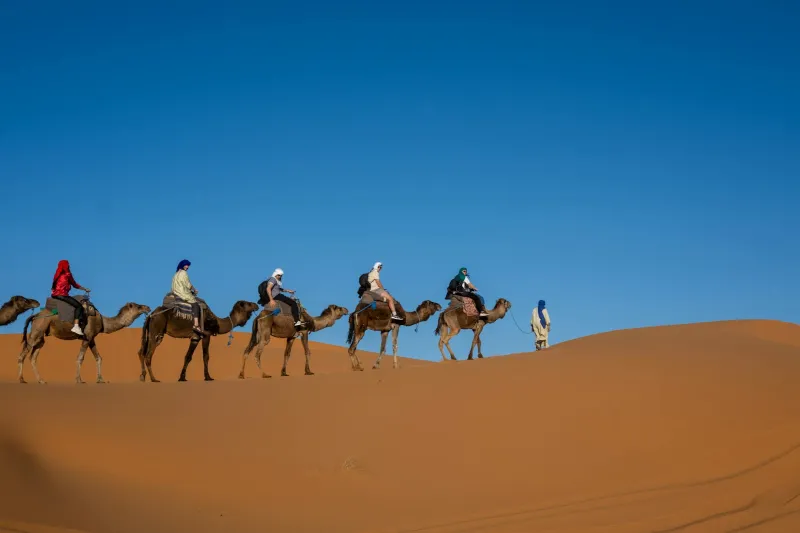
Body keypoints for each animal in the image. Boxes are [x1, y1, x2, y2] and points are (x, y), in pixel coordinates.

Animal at [18, 300, 151, 384]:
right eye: (138, 306)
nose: (148, 307)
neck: (103, 322)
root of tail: (35, 315)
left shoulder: (92, 338)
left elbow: (99, 357)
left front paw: (100, 379)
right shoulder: (87, 336)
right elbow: (80, 357)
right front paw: (79, 379)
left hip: (41, 335)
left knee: (33, 356)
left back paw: (41, 380)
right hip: (38, 329)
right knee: (23, 353)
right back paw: (21, 379)